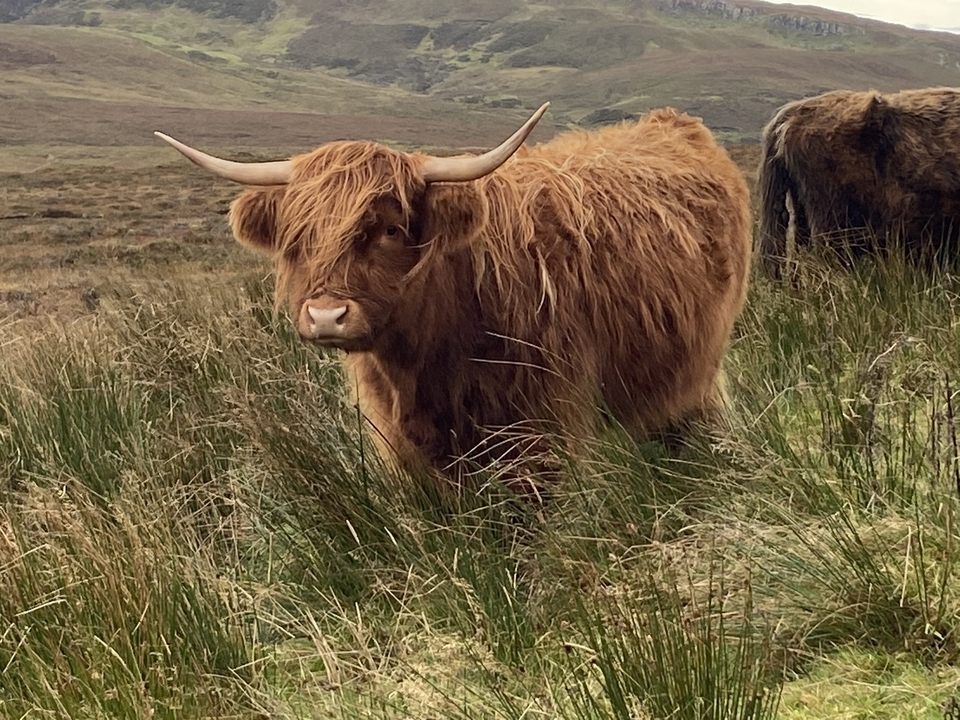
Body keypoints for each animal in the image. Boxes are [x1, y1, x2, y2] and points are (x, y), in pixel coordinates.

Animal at [155, 104, 752, 493]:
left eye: (390, 229)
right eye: (298, 238)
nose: (326, 316)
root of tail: (671, 121)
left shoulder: (542, 432)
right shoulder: (409, 446)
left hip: (700, 368)